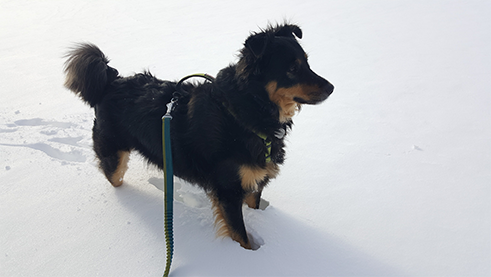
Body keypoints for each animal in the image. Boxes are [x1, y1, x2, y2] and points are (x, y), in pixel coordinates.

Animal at [64, 23, 334, 248]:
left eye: (307, 63)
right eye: (292, 68)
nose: (332, 88)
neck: (243, 114)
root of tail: (110, 82)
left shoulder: (255, 181)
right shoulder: (228, 191)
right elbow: (241, 236)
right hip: (114, 156)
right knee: (113, 176)